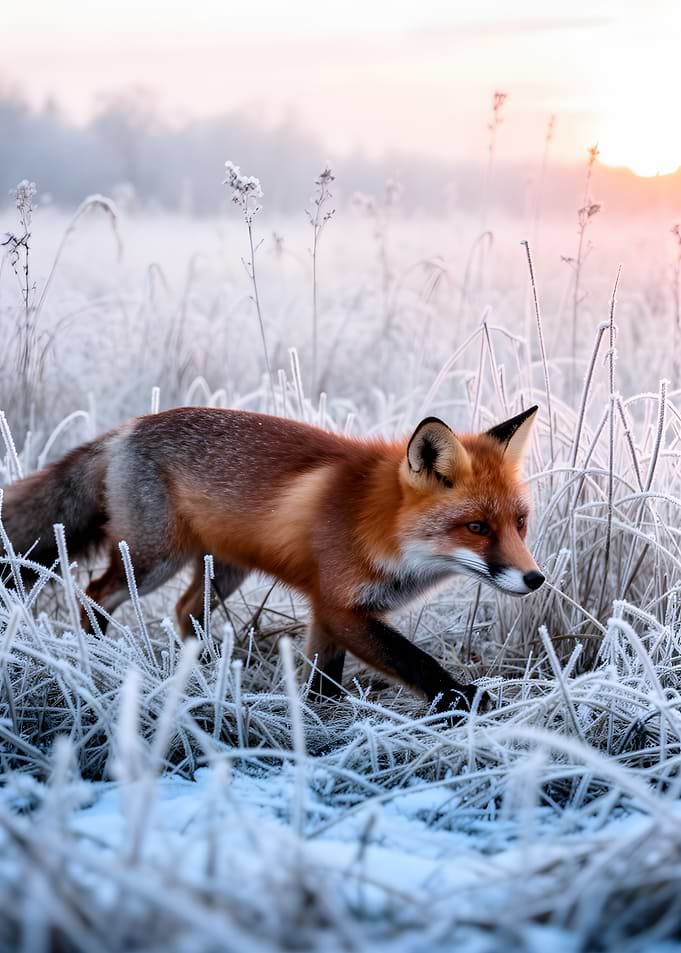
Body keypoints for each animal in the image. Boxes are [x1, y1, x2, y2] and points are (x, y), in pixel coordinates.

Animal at [0, 404, 544, 715]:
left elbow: (325, 677)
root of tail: (128, 428)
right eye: (477, 528)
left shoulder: (329, 611)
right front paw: (463, 701)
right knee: (96, 593)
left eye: (520, 522)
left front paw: (320, 715)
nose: (535, 579)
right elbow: (413, 659)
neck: (381, 526)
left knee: (184, 611)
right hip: (155, 559)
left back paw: (209, 670)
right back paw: (94, 655)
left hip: (225, 570)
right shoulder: (340, 606)